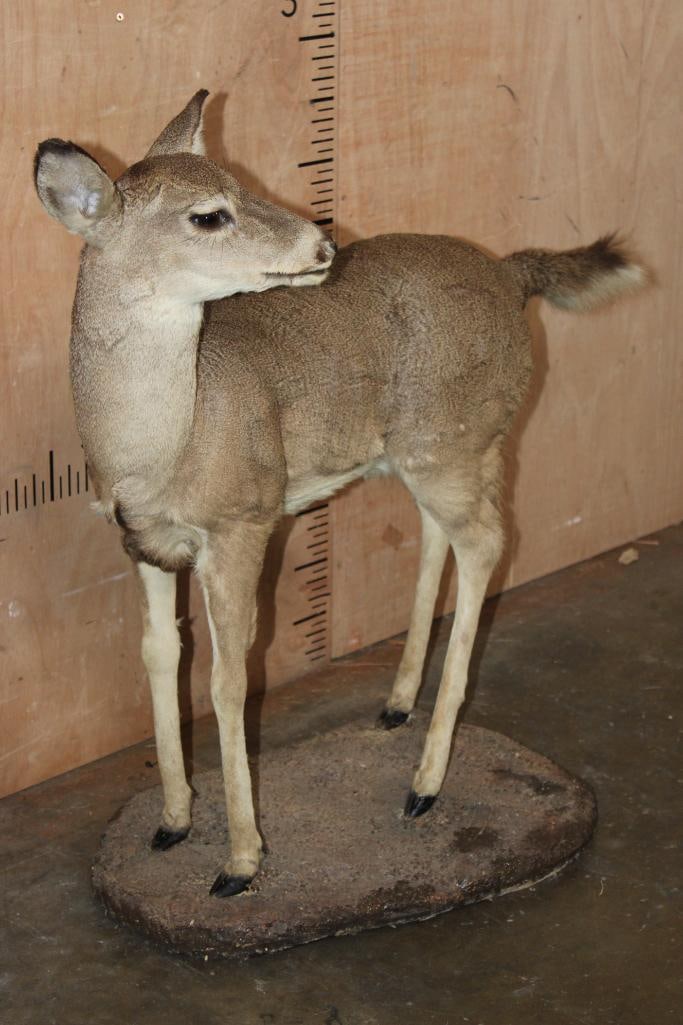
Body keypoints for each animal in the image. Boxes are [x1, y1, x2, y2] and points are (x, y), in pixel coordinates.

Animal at [34, 91, 645, 898]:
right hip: (444, 449)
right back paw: (395, 704)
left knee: (486, 542)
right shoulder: (144, 542)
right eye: (208, 214)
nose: (321, 246)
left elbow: (230, 678)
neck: (158, 450)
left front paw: (240, 862)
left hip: (448, 441)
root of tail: (512, 276)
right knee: (446, 536)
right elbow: (160, 658)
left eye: (237, 181)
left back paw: (423, 786)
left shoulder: (243, 521)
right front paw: (171, 822)